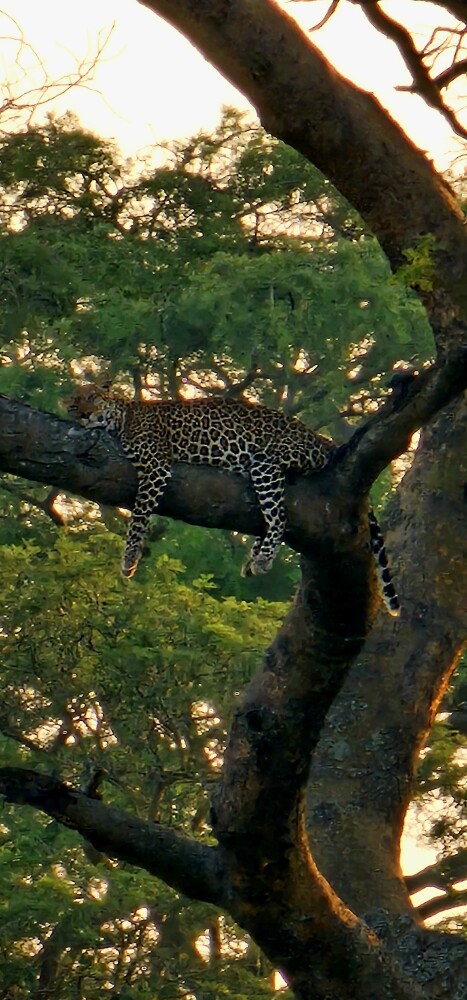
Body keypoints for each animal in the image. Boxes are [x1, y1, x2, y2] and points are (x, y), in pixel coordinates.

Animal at [67, 382, 400, 616]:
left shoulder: (157, 466)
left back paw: (263, 560)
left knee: (279, 516)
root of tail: (321, 439)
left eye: (93, 397)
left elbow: (138, 518)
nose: (82, 414)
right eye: (73, 403)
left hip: (266, 461)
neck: (123, 417)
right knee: (273, 513)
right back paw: (254, 556)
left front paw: (129, 560)